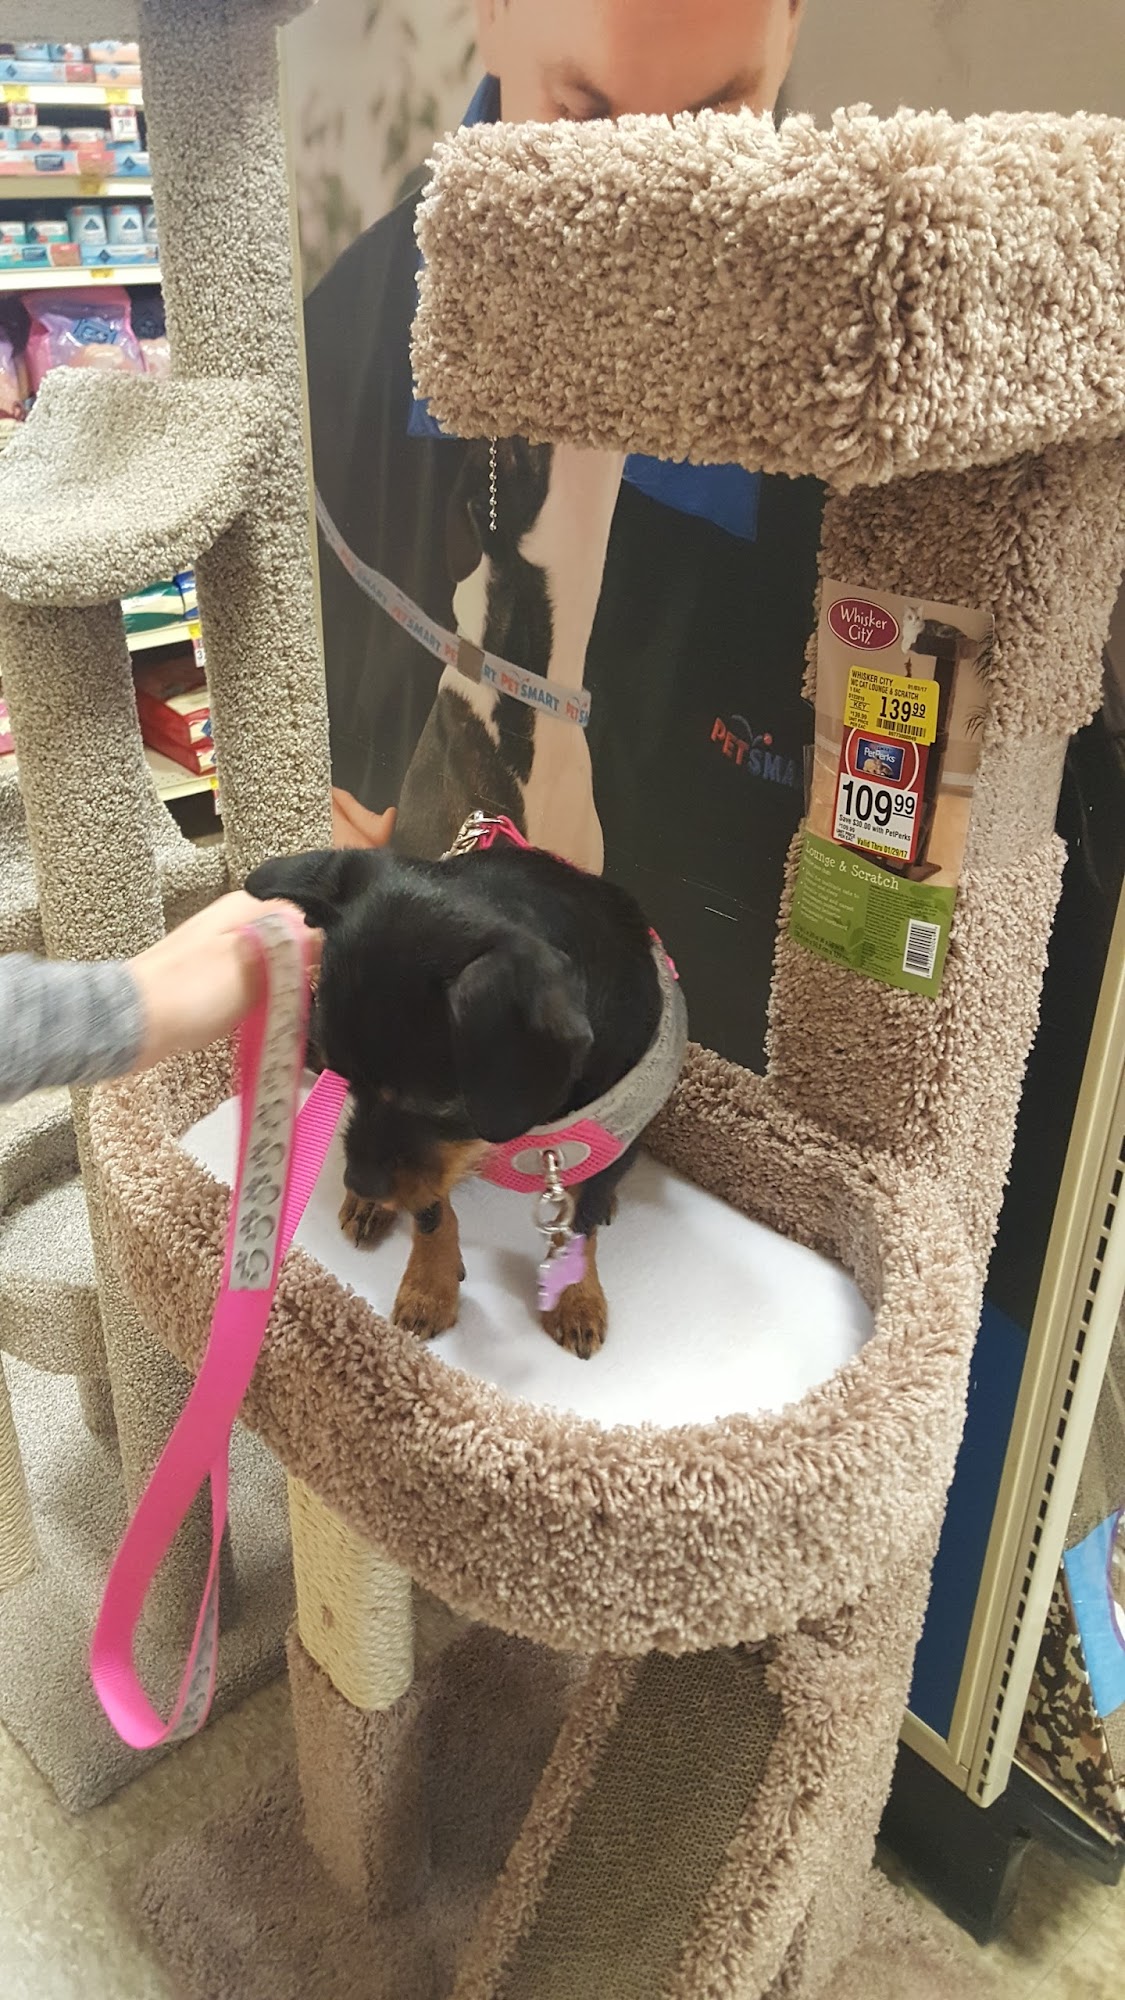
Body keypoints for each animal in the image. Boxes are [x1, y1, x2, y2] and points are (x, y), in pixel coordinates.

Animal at [246, 837, 665, 1358]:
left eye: (435, 1106)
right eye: (344, 1081)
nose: (360, 1181)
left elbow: (579, 1226)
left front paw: (576, 1298)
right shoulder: (427, 1166)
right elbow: (432, 1214)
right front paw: (430, 1288)